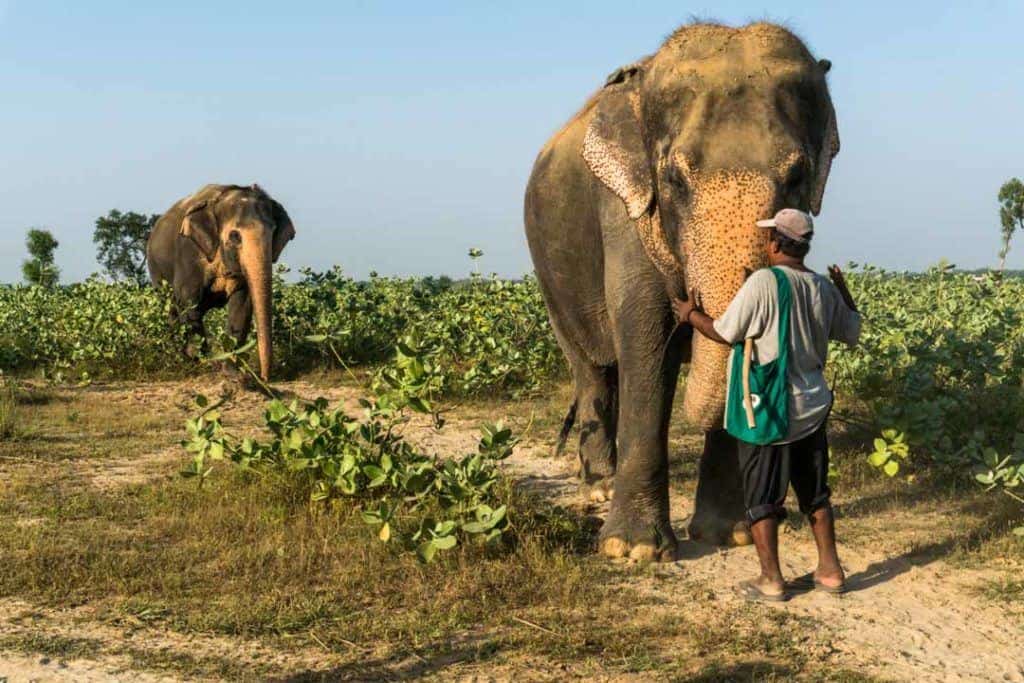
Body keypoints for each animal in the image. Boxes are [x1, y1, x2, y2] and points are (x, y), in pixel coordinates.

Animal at [146, 184, 296, 382]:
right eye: (235, 236)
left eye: (272, 233)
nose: (264, 378)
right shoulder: (188, 254)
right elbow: (188, 302)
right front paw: (206, 364)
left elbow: (242, 306)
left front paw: (231, 372)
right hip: (156, 268)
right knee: (172, 310)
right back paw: (179, 359)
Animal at [524, 22, 839, 560]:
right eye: (673, 179)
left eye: (797, 178)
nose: (691, 304)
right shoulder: (625, 213)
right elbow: (646, 341)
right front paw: (633, 550)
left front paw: (727, 534)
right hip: (550, 271)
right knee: (592, 368)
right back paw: (599, 488)